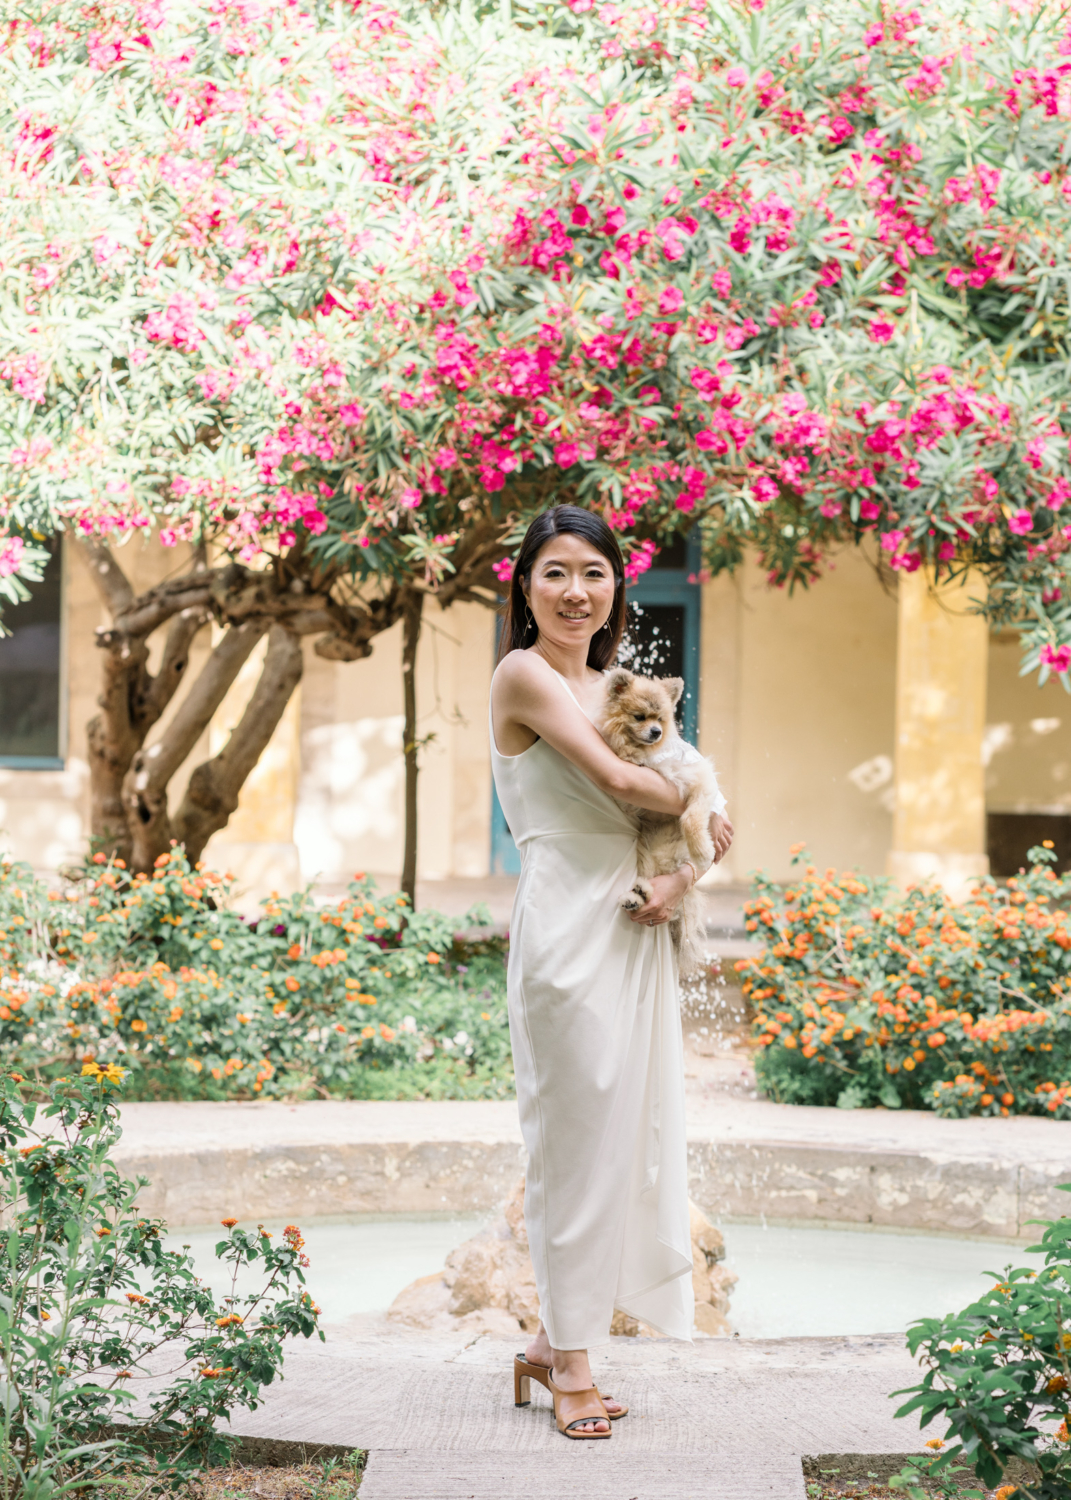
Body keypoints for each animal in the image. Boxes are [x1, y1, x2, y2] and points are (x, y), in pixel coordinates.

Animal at [597, 672, 714, 978]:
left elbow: (690, 819)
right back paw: (636, 896)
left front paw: (703, 852)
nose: (656, 732)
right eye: (639, 717)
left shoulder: (697, 780)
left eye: (660, 719)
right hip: (645, 853)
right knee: (649, 882)